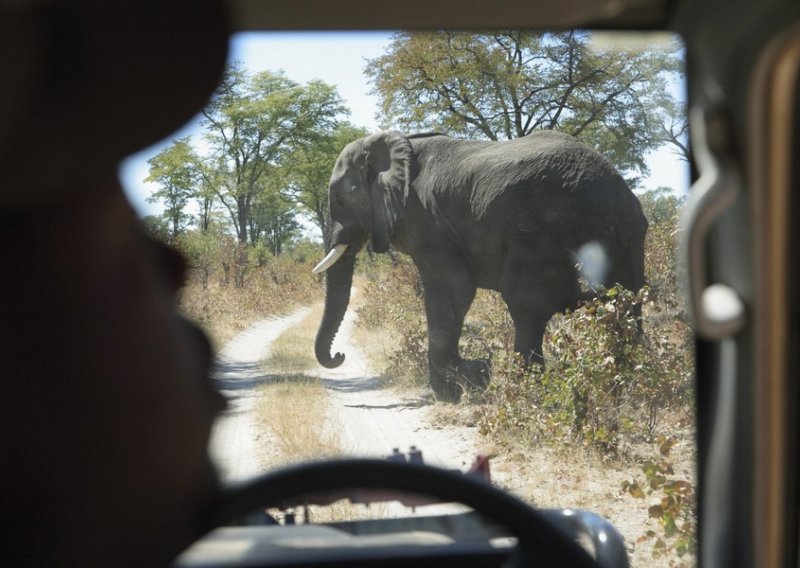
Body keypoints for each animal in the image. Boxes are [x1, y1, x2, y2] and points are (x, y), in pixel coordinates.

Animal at [314, 131, 648, 402]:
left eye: (341, 197)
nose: (339, 355)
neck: (396, 142)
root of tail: (615, 194)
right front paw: (472, 374)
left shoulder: (426, 221)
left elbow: (453, 290)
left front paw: (452, 391)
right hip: (627, 239)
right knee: (625, 311)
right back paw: (620, 391)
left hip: (544, 234)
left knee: (526, 307)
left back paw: (527, 394)